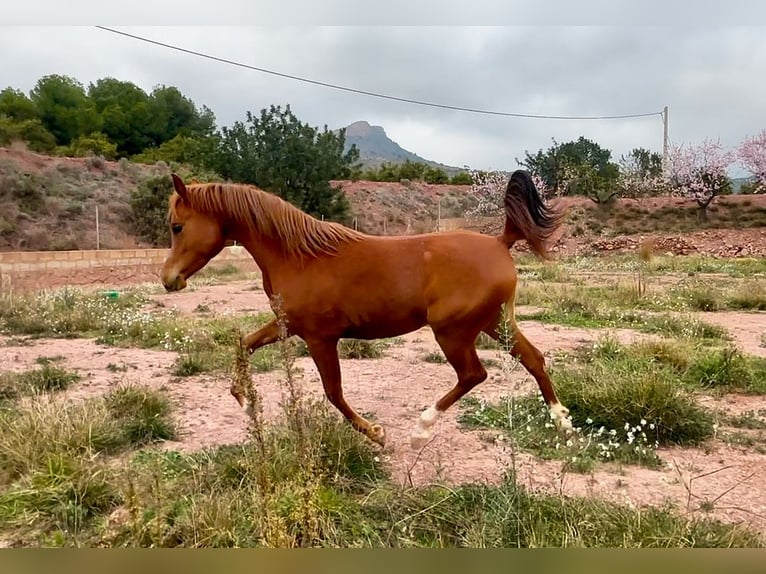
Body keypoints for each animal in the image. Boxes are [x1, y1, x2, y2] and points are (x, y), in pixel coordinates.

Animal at [161, 170, 573, 450]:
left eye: (177, 226)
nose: (169, 279)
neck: (299, 257)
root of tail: (500, 242)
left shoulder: (319, 338)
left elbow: (333, 393)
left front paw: (375, 433)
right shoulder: (286, 325)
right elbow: (243, 344)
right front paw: (245, 401)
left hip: (453, 332)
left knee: (474, 374)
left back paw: (421, 429)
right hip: (493, 323)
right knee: (533, 359)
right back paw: (563, 423)